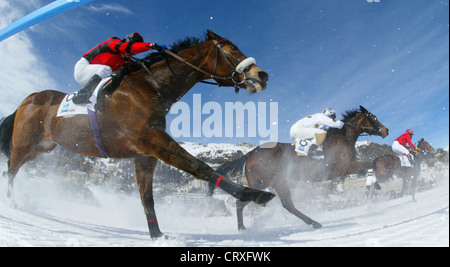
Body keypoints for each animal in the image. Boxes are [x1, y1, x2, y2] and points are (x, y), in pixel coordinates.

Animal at [0, 29, 274, 241]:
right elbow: (200, 167)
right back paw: (12, 201)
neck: (150, 87)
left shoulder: (145, 154)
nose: (262, 75)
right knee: (12, 166)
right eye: (232, 48)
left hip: (43, 146)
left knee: (14, 166)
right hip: (25, 142)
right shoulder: (153, 141)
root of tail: (27, 99)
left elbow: (147, 198)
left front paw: (157, 235)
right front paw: (255, 194)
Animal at [216, 105, 388, 231]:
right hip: (278, 180)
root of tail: (249, 154)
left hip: (259, 184)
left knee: (241, 202)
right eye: (373, 117)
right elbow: (371, 164)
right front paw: (377, 183)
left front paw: (376, 186)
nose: (386, 130)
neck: (342, 138)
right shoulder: (345, 167)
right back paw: (314, 223)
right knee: (288, 204)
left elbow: (369, 167)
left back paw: (242, 228)